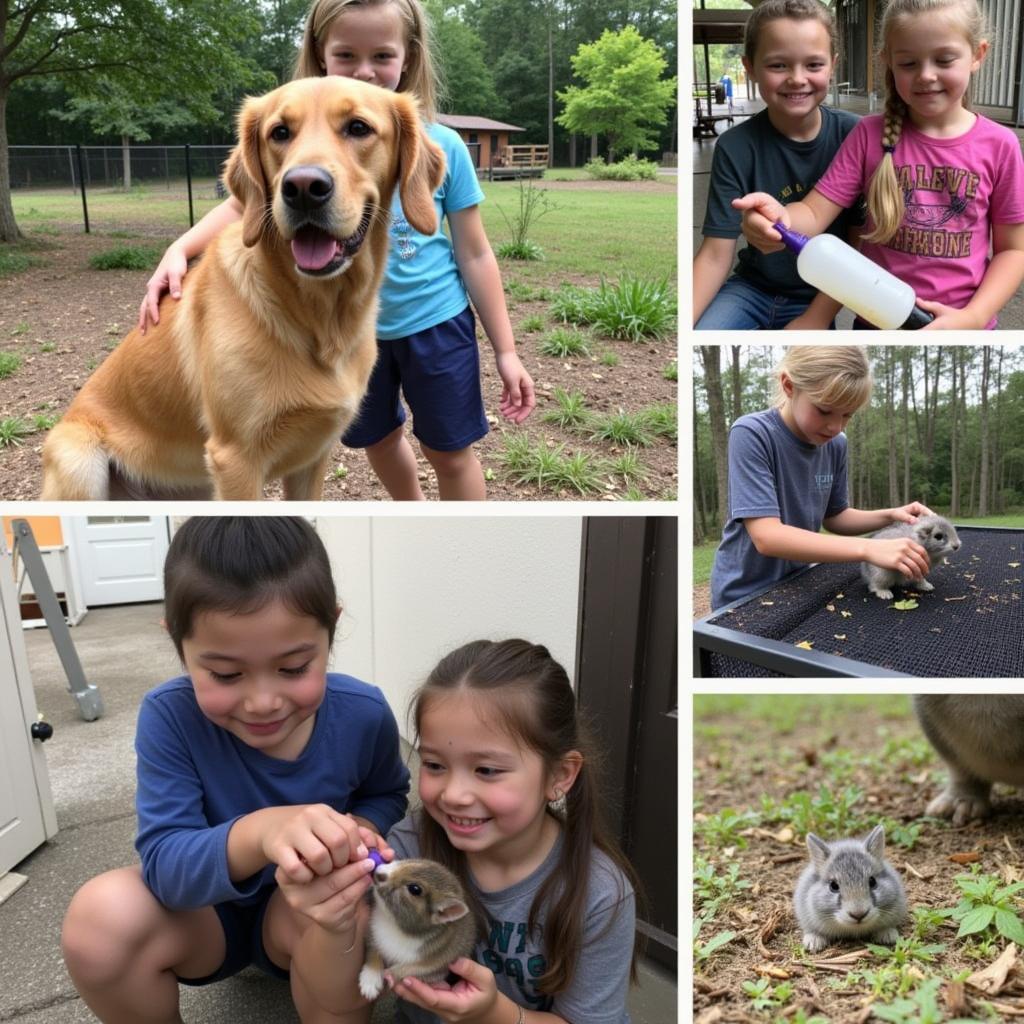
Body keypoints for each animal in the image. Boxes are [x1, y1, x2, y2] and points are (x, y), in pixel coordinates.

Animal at [41, 75, 442, 499]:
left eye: (358, 127)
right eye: (279, 133)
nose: (302, 187)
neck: (318, 314)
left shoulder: (313, 456)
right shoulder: (235, 458)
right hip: (79, 461)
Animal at [356, 856, 475, 999]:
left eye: (415, 889)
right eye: (408, 861)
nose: (378, 872)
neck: (395, 923)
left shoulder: (438, 963)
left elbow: (412, 969)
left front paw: (391, 974)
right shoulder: (372, 936)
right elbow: (373, 953)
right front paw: (370, 982)